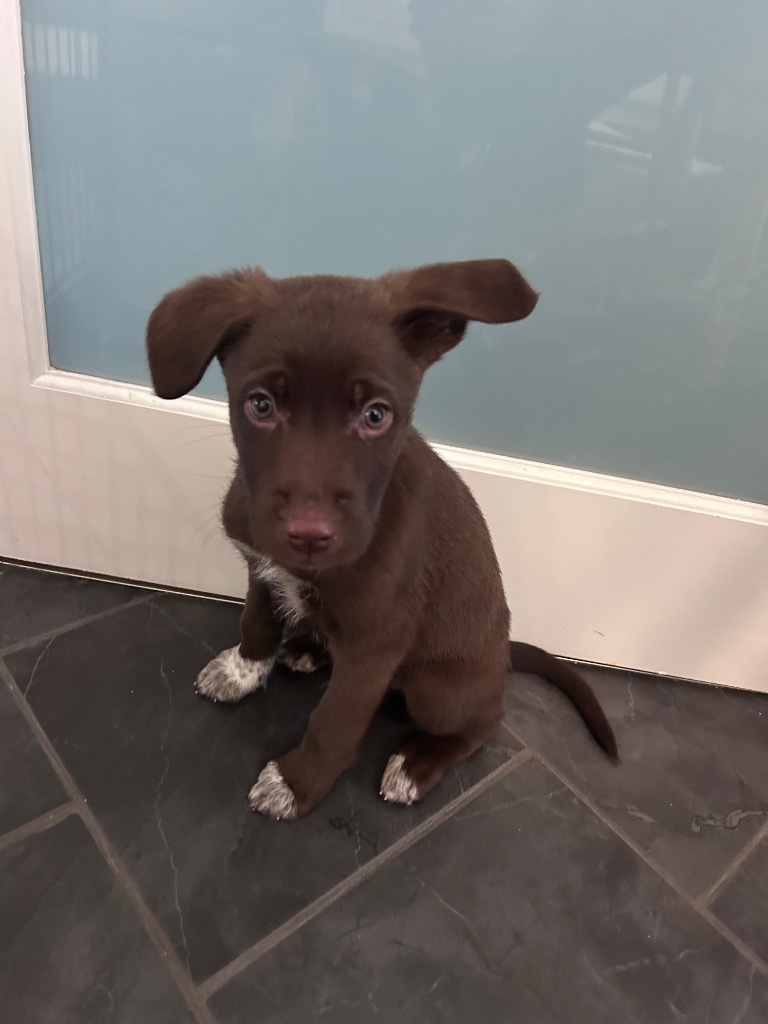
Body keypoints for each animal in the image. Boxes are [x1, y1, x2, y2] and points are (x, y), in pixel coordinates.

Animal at [145, 260, 618, 819]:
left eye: (376, 414)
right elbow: (256, 623)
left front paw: (295, 784)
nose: (308, 534)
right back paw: (307, 648)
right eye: (260, 405)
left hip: (438, 693)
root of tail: (501, 659)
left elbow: (335, 722)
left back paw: (416, 763)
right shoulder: (261, 567)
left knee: (483, 722)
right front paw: (242, 672)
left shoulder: (375, 643)